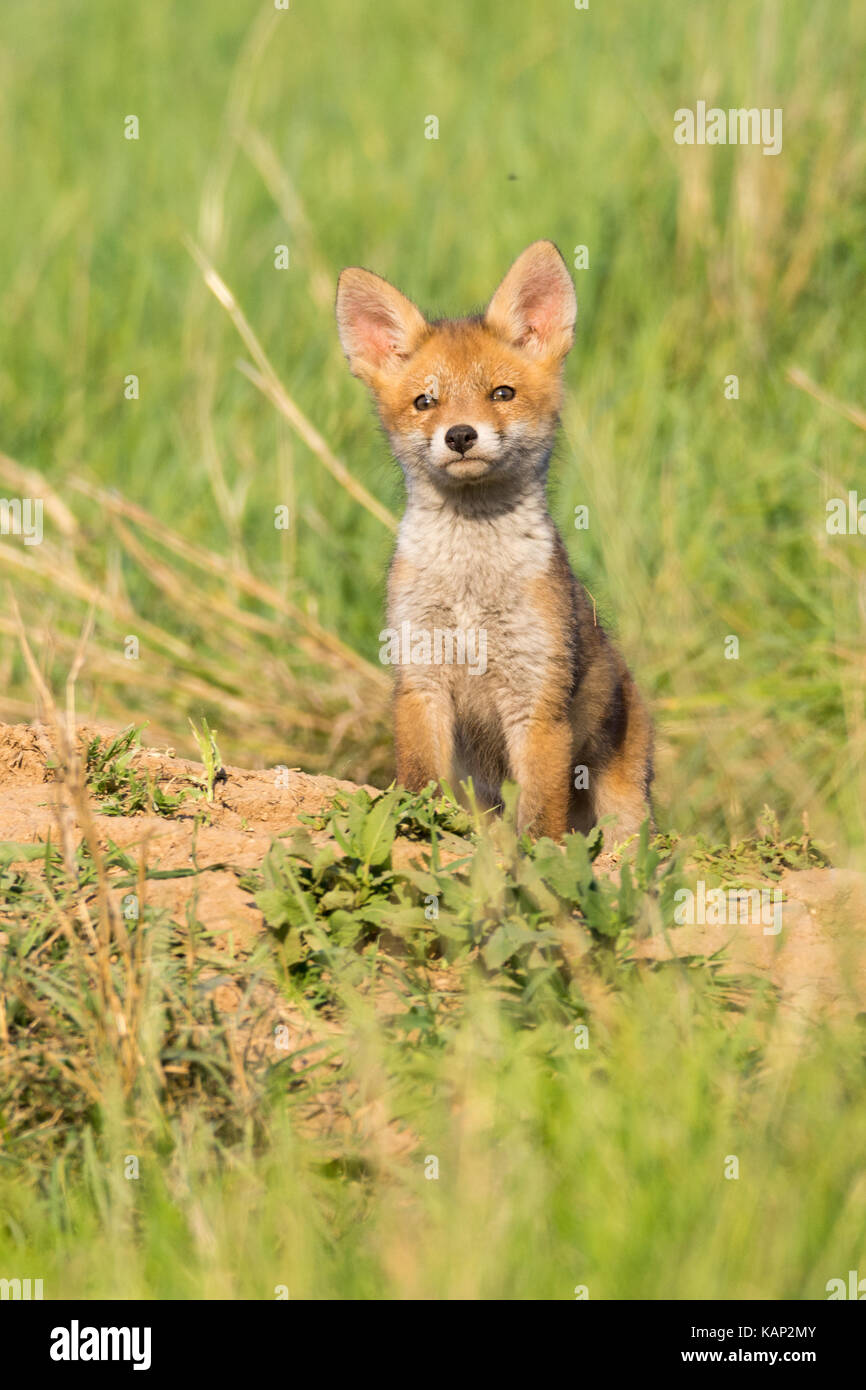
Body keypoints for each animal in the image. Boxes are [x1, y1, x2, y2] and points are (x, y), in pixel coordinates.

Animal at [335, 243, 653, 839]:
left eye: (502, 394)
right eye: (425, 402)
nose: (460, 435)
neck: (470, 588)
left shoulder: (537, 702)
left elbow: (542, 820)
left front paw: (541, 860)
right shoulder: (420, 678)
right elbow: (419, 782)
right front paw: (419, 830)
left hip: (626, 811)